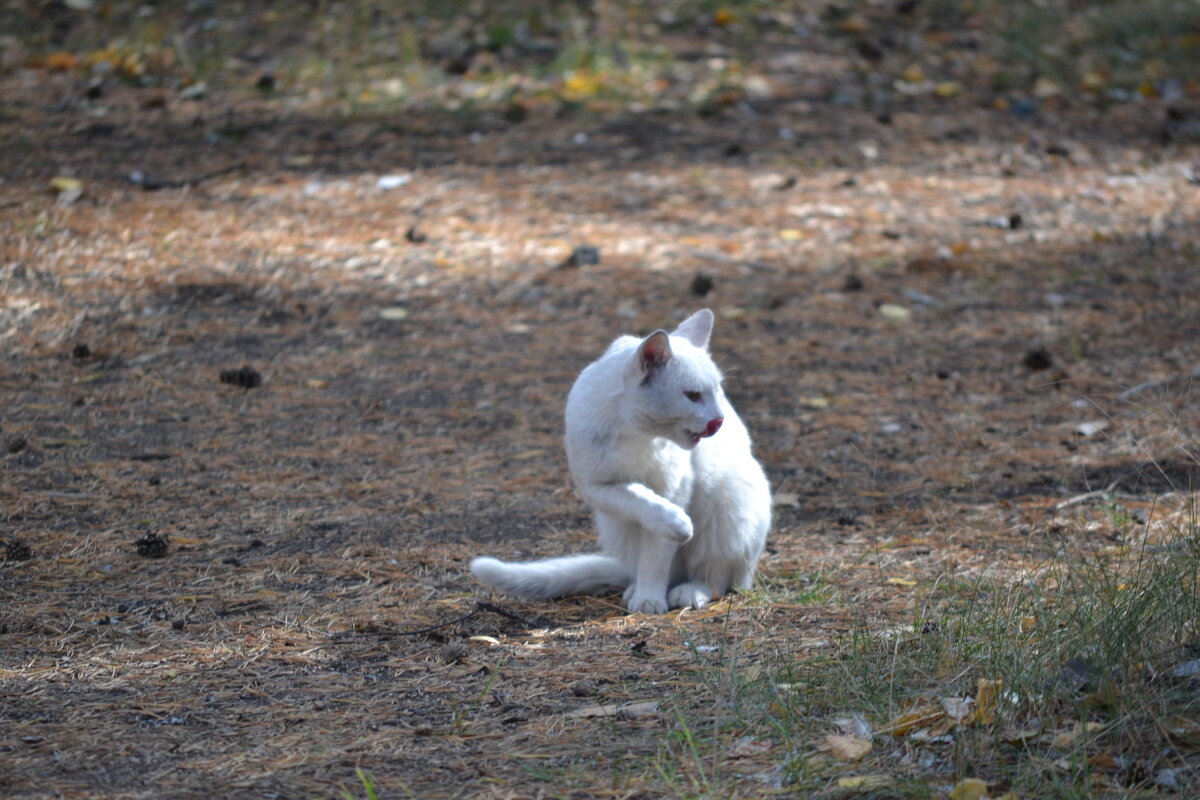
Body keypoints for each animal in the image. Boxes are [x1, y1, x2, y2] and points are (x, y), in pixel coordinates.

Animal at [468, 311, 768, 614]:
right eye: (693, 395)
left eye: (717, 390)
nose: (718, 421)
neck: (637, 433)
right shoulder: (597, 487)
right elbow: (641, 500)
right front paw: (675, 528)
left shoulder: (676, 488)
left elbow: (656, 552)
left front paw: (650, 598)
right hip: (616, 525)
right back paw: (638, 587)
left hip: (728, 505)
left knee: (717, 578)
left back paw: (689, 591)